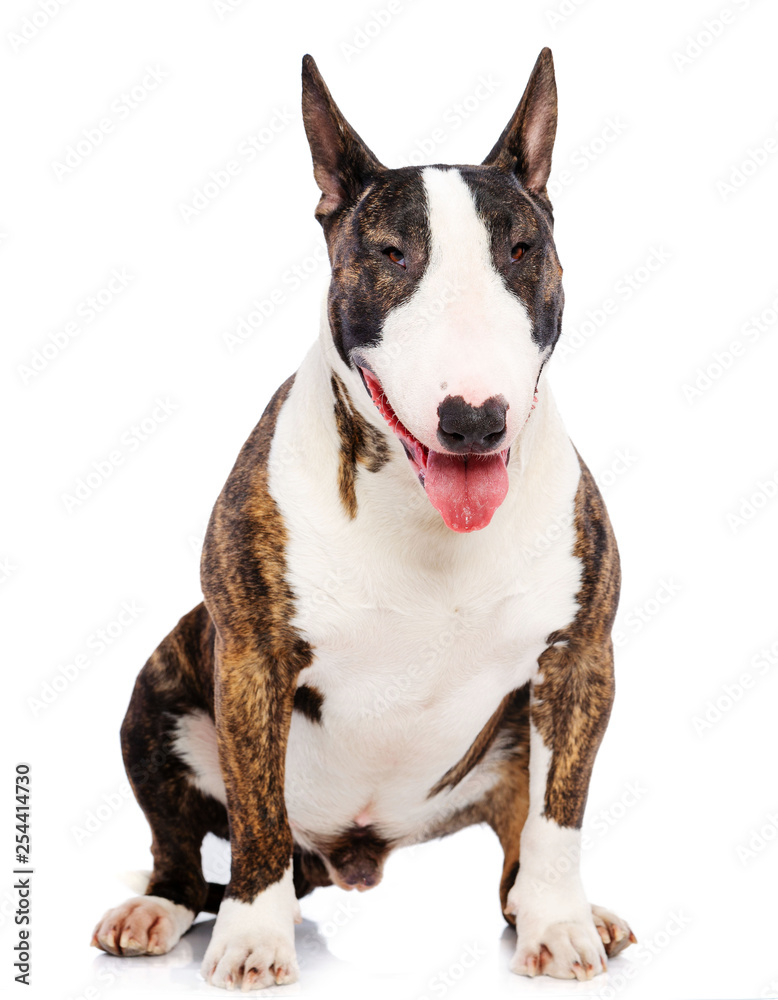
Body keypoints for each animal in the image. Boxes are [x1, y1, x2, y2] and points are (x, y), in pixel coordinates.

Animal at [91, 45, 632, 984]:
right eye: (389, 252)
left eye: (522, 249)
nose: (473, 420)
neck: (425, 524)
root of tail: (347, 852)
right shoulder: (252, 658)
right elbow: (255, 818)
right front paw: (253, 940)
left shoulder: (578, 658)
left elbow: (560, 816)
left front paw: (562, 928)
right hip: (155, 694)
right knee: (186, 853)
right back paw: (158, 912)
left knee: (515, 857)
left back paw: (559, 914)